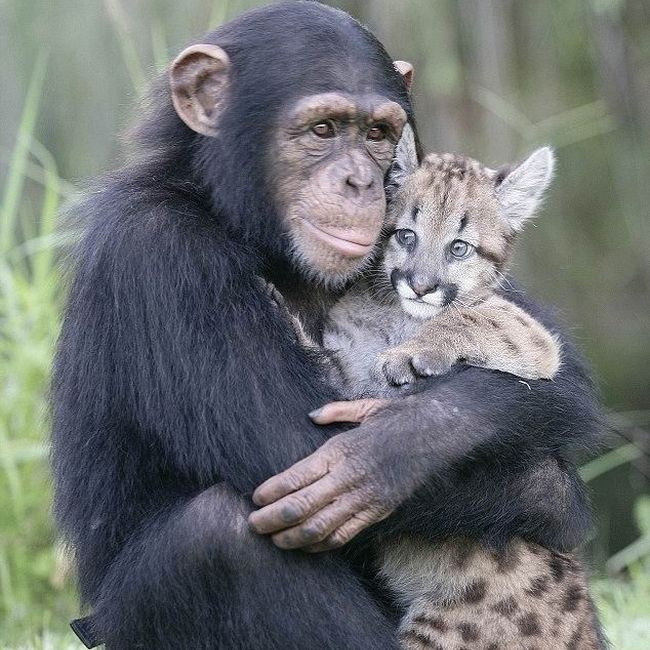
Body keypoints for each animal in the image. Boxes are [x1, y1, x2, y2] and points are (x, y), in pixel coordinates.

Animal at [53, 1, 600, 648]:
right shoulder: (158, 248)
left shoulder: (529, 339)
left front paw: (410, 384)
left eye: (460, 247)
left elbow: (487, 321)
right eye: (405, 234)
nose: (421, 283)